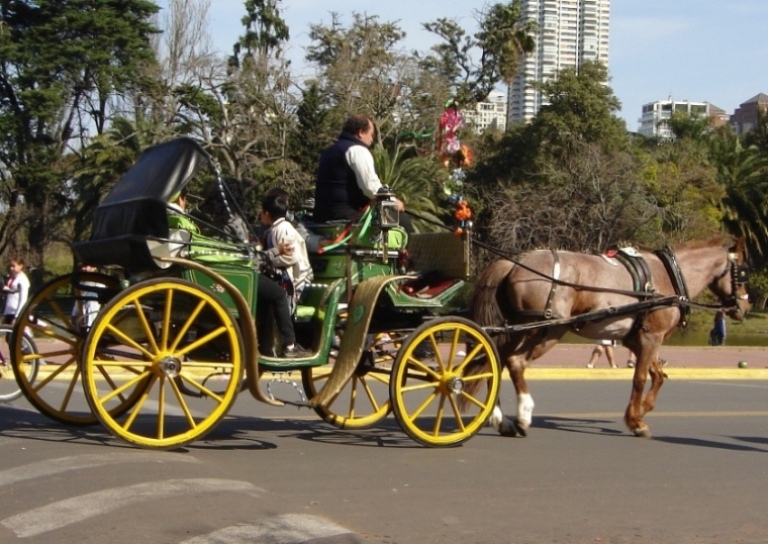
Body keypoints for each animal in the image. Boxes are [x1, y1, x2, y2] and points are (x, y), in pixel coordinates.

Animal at [468, 237, 752, 438]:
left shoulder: (637, 339)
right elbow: (640, 378)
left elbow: (658, 375)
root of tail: (514, 262)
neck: (668, 276)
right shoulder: (651, 337)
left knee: (495, 362)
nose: (745, 307)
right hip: (546, 329)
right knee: (515, 363)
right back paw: (523, 415)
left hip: (515, 330)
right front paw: (636, 421)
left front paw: (642, 409)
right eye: (743, 272)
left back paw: (499, 419)